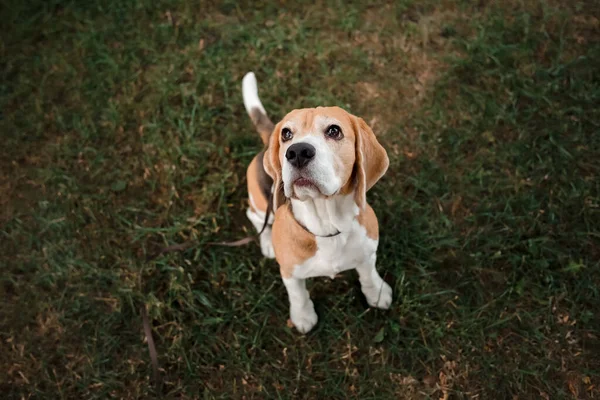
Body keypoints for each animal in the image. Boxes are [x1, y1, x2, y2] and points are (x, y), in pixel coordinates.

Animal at [241, 72, 392, 334]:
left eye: (334, 131)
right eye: (287, 134)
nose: (297, 152)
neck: (327, 226)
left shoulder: (368, 250)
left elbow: (368, 274)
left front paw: (377, 293)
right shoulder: (289, 272)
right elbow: (298, 294)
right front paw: (303, 317)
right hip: (261, 204)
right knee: (254, 216)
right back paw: (267, 242)